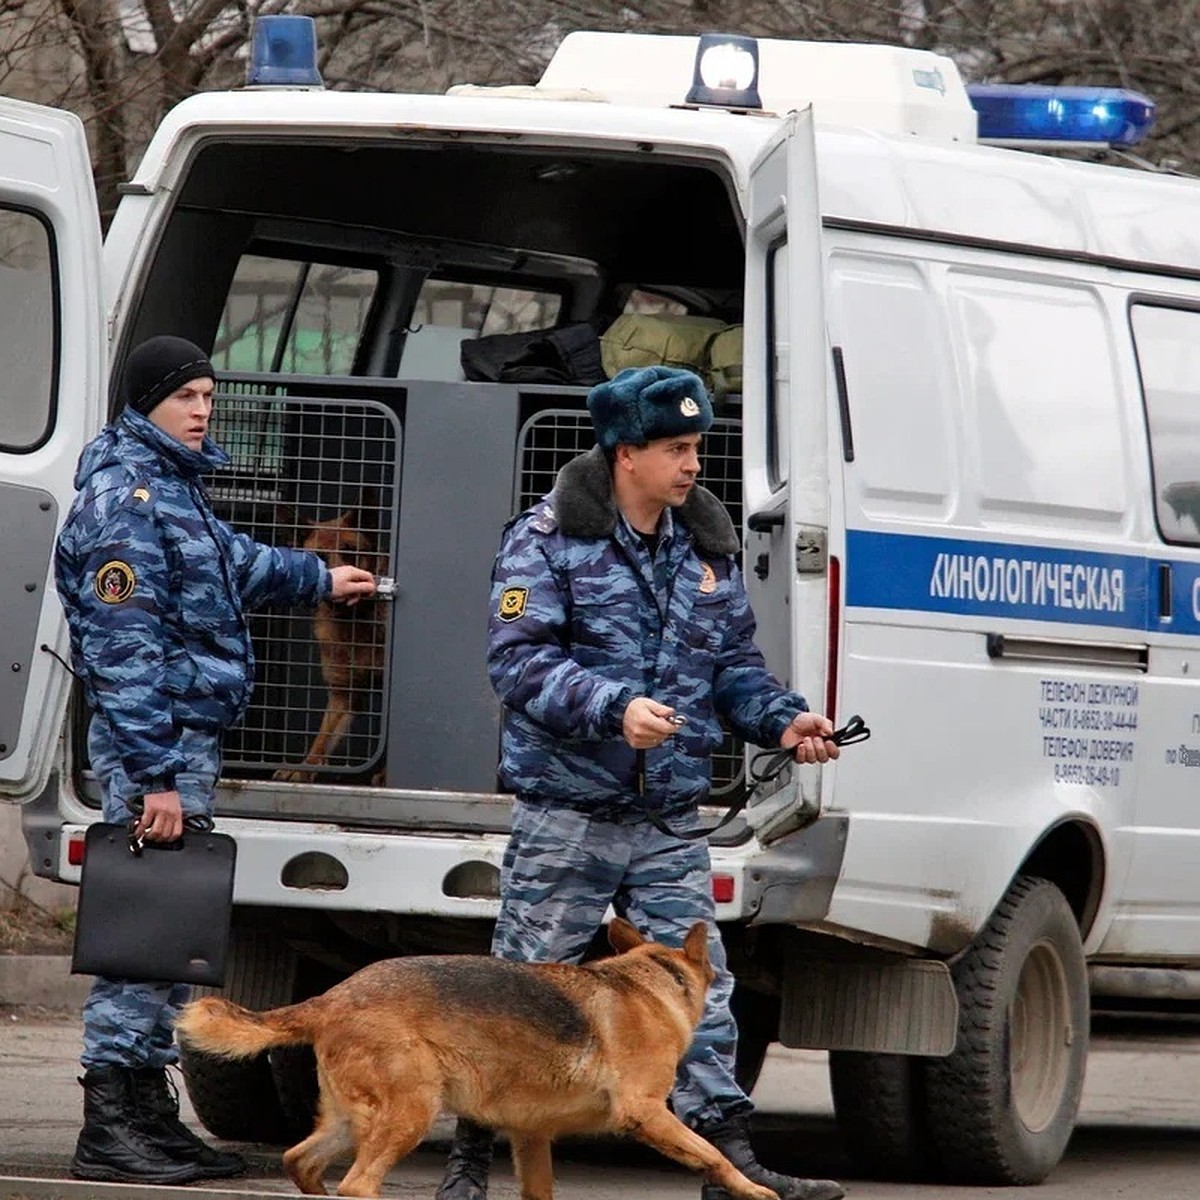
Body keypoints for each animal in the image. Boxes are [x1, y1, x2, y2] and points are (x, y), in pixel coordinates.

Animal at [274, 492, 386, 782]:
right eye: (320, 557)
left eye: (350, 550)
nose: (341, 588)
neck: (356, 623)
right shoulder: (343, 695)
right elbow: (323, 738)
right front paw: (304, 768)